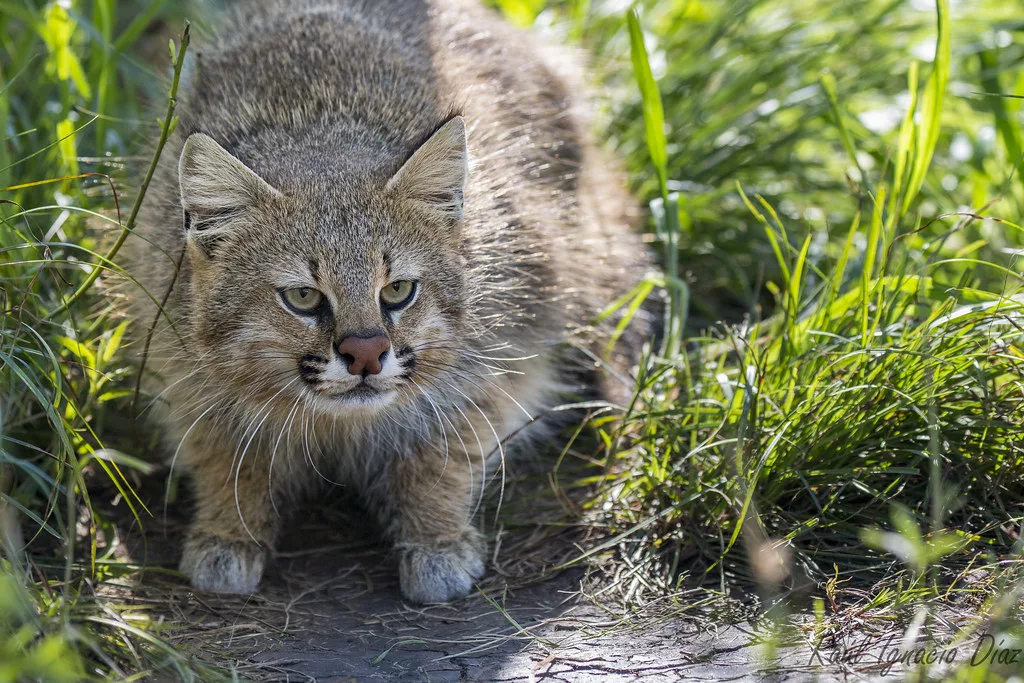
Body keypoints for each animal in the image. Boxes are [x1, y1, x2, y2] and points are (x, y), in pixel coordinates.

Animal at [123, 0, 643, 602]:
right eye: (302, 297)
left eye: (397, 290)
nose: (367, 354)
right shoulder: (184, 372)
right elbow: (228, 458)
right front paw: (228, 531)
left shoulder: (496, 351)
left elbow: (442, 450)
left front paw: (436, 538)